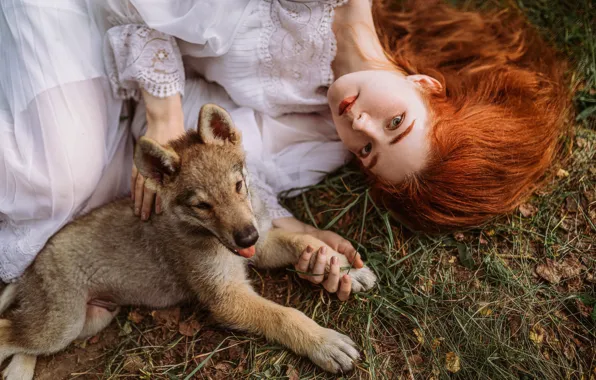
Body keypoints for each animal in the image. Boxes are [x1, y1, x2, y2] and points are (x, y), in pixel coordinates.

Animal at [0, 104, 374, 380]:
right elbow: (285, 315)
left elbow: (302, 241)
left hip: (90, 319)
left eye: (238, 185)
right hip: (62, 325)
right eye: (202, 206)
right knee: (7, 333)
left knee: (22, 344)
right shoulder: (227, 297)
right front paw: (324, 343)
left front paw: (343, 268)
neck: (208, 236)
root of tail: (30, 267)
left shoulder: (263, 246)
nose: (247, 236)